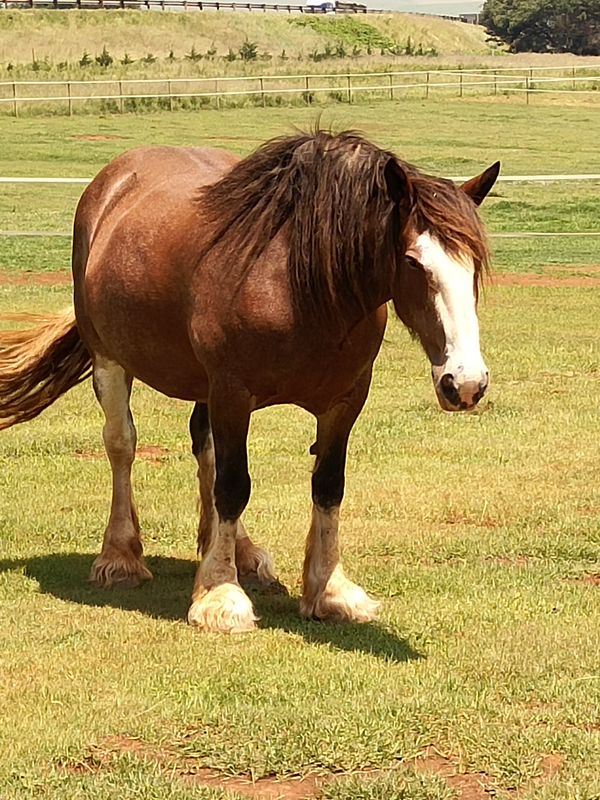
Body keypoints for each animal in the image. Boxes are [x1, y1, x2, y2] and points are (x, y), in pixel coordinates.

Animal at [0, 130, 496, 632]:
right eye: (414, 262)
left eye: (475, 262)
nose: (465, 383)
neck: (300, 286)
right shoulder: (232, 393)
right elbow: (234, 485)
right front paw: (221, 595)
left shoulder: (345, 400)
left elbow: (326, 487)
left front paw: (329, 590)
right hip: (111, 360)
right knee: (122, 444)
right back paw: (120, 557)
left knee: (205, 450)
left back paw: (239, 551)